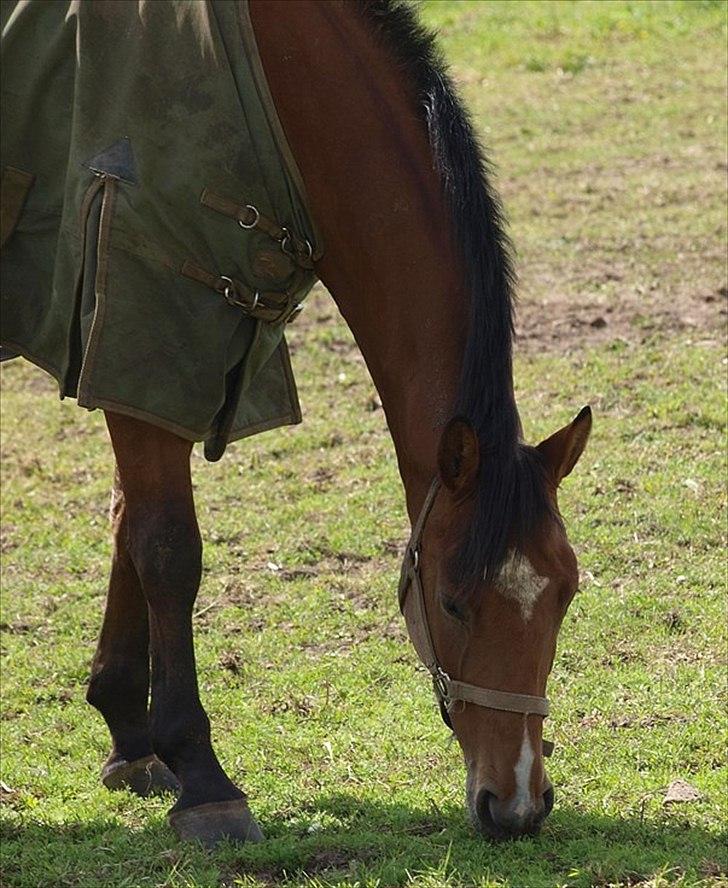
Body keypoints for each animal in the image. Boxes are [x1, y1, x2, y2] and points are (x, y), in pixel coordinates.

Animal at [0, 0, 592, 848]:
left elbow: (126, 524)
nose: (516, 805)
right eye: (452, 602)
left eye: (566, 594)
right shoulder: (146, 328)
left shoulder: (149, 369)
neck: (275, 88)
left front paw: (130, 737)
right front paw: (202, 777)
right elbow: (167, 548)